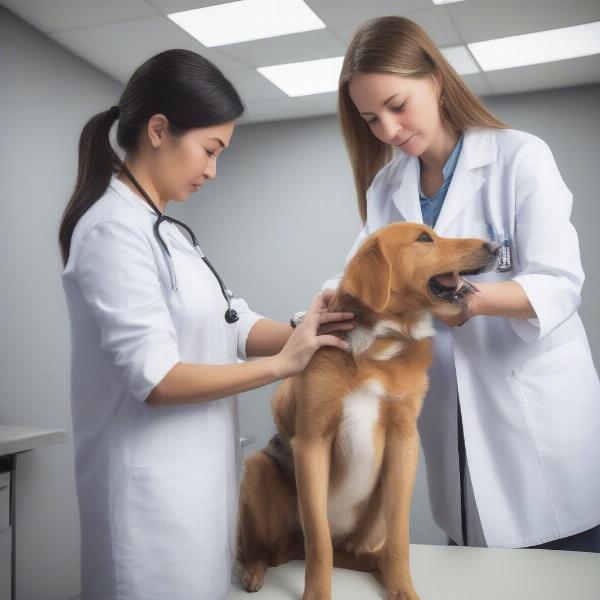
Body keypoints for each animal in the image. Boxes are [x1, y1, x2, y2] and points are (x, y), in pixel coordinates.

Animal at [238, 224, 496, 600]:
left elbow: (399, 540)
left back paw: (378, 566)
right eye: (424, 238)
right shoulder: (311, 442)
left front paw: (402, 587)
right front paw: (317, 595)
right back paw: (254, 569)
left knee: (360, 551)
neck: (380, 340)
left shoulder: (404, 440)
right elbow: (318, 542)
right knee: (276, 549)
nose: (495, 246)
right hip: (257, 471)